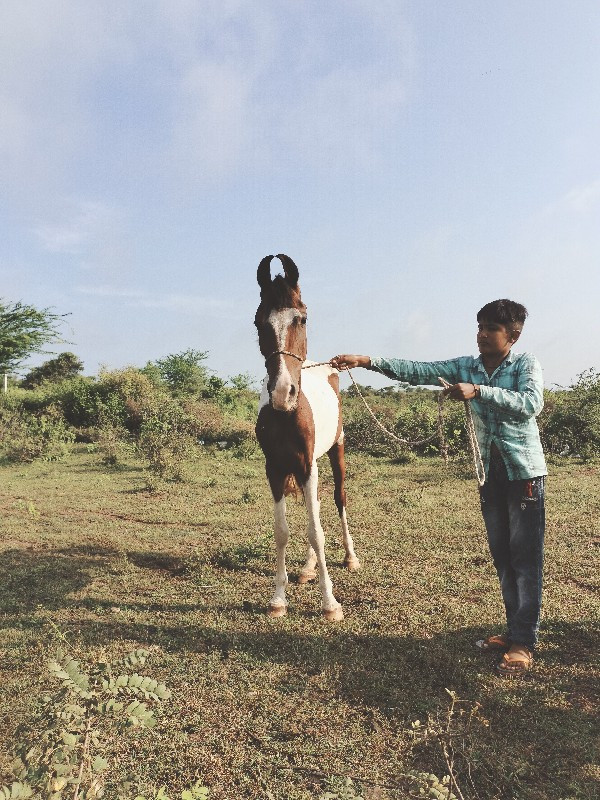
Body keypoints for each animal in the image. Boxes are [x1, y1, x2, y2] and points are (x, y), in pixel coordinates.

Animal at [254, 253, 360, 620]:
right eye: (259, 323)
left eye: (301, 319)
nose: (282, 392)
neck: (287, 415)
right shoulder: (275, 469)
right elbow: (282, 531)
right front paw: (278, 599)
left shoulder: (307, 464)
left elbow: (316, 531)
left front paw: (330, 603)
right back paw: (308, 567)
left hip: (335, 451)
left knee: (339, 500)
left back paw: (350, 557)